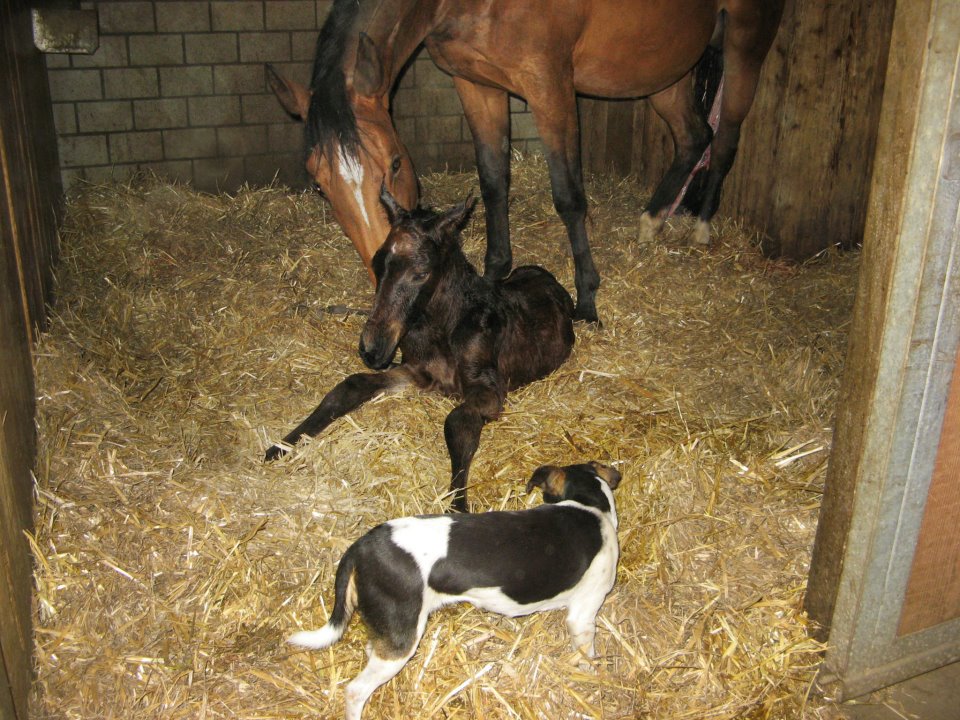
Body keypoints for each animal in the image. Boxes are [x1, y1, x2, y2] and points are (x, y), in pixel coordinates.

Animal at [265, 187, 575, 512]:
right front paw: (282, 444)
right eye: (376, 262)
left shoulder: (489, 389)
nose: (372, 349)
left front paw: (457, 507)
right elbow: (350, 386)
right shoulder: (415, 372)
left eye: (421, 271)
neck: (444, 327)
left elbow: (457, 422)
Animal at [267, 0, 785, 325]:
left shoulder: (549, 87)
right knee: (694, 137)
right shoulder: (476, 85)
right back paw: (652, 222)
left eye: (395, 164)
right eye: (319, 187)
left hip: (744, 49)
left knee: (725, 138)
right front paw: (495, 273)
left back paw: (701, 226)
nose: (386, 273)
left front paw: (587, 299)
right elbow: (494, 181)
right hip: (664, 65)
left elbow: (569, 197)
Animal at [288, 461, 622, 720]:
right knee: (355, 691)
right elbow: (588, 655)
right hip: (402, 640)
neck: (588, 506)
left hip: (389, 633)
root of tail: (360, 547)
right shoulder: (583, 614)